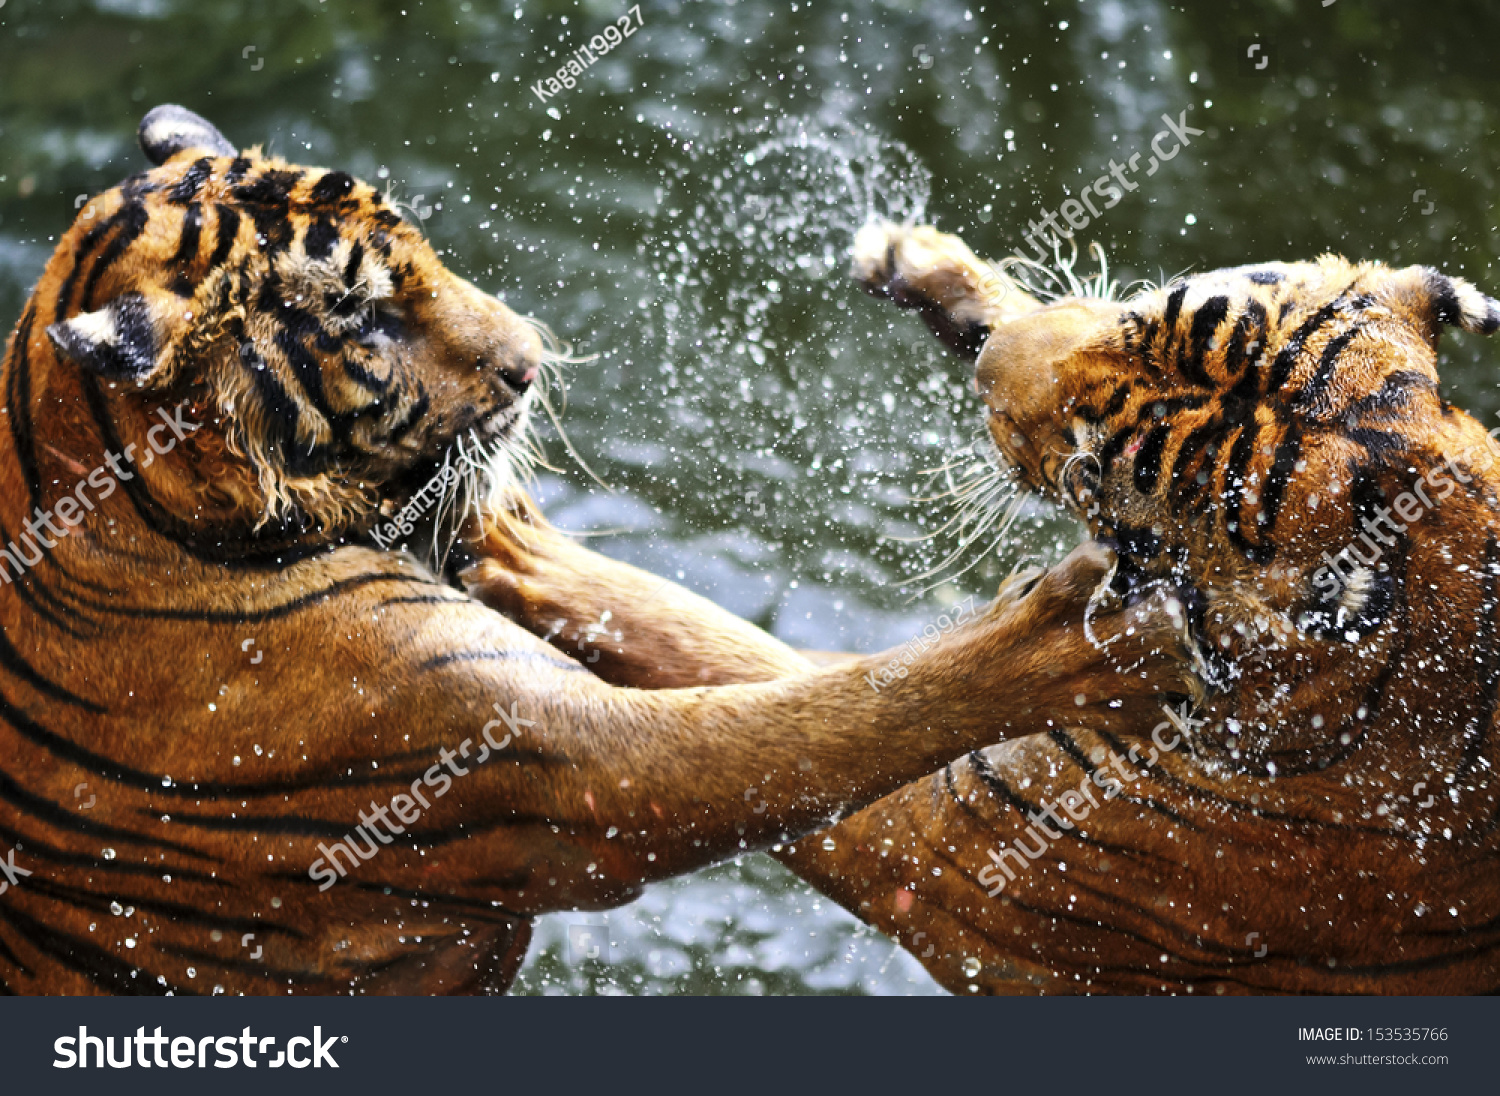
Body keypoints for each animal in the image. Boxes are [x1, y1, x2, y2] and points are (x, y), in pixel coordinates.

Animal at [0, 106, 1187, 995]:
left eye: (422, 256)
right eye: (363, 319)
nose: (531, 361)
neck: (138, 496)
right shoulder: (549, 765)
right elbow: (843, 714)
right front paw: (1097, 637)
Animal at [527, 220, 1500, 994]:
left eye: (1092, 461)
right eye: (1142, 316)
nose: (988, 372)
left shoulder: (930, 844)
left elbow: (770, 699)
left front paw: (515, 540)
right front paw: (917, 260)